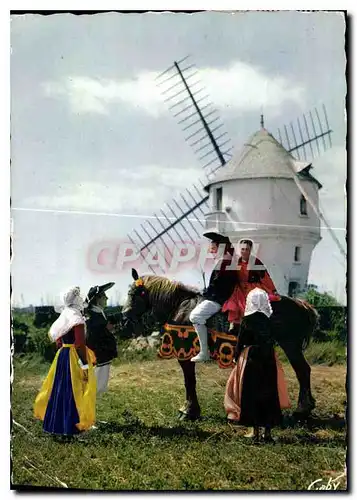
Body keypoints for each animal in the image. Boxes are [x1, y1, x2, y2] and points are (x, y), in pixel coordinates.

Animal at [121, 268, 318, 420]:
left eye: (134, 293)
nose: (124, 316)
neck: (180, 306)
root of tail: (302, 305)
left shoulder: (184, 355)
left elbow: (189, 381)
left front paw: (189, 411)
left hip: (290, 345)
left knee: (302, 371)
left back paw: (302, 410)